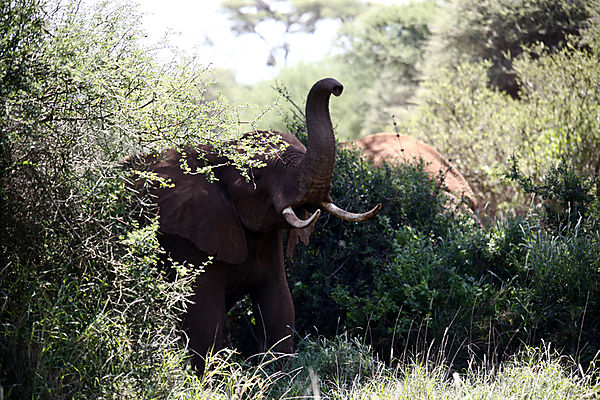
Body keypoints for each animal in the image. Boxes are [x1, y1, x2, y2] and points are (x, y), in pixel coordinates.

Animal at [142, 78, 380, 372]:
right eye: (254, 175)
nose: (337, 87)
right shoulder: (186, 238)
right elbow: (203, 317)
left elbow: (280, 304)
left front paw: (279, 375)